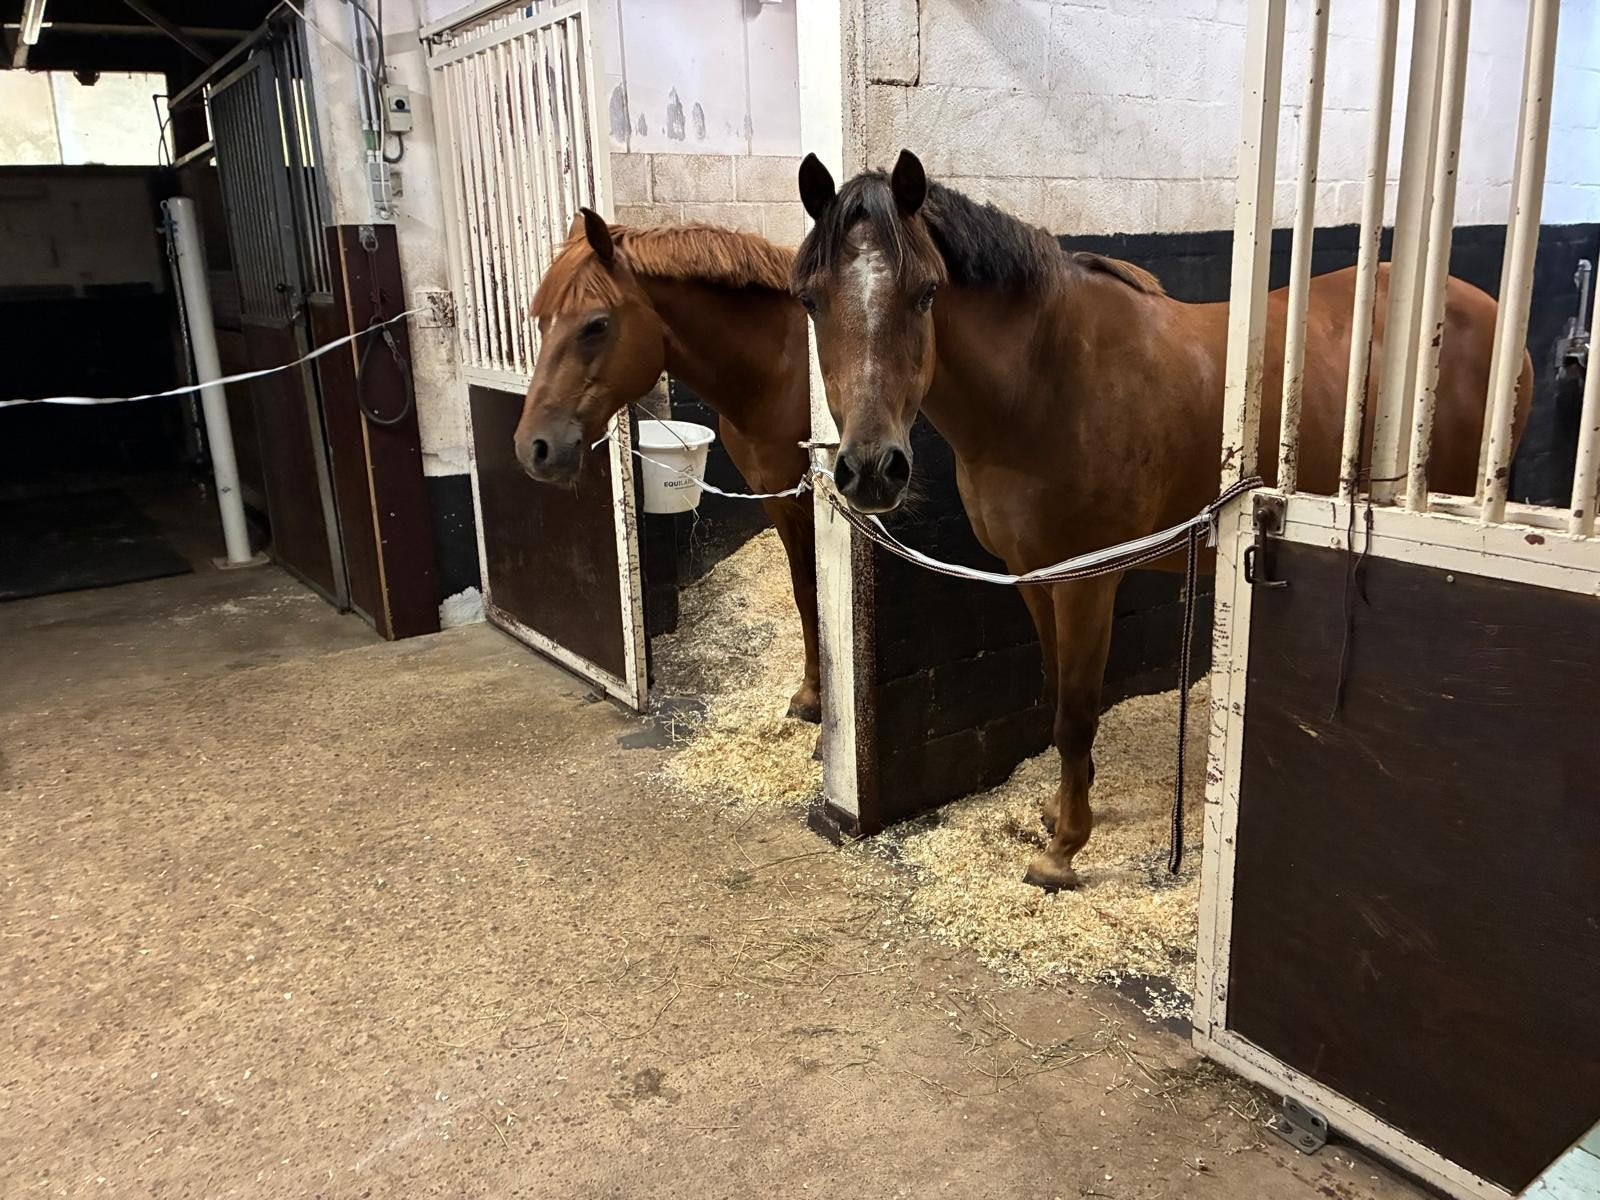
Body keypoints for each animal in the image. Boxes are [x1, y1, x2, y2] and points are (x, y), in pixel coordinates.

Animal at [513, 211, 821, 723]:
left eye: (596, 324)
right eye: (541, 323)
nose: (533, 447)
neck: (783, 375)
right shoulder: (781, 503)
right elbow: (806, 592)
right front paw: (813, 697)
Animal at [793, 149, 1533, 890]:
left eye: (926, 293)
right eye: (810, 300)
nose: (871, 469)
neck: (1046, 381)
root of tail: (1489, 312)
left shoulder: (1088, 583)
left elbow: (1076, 713)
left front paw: (1064, 849)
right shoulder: (1032, 575)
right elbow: (1054, 692)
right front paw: (1057, 810)